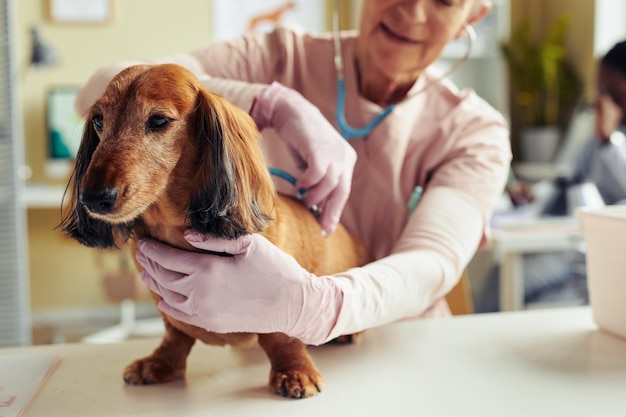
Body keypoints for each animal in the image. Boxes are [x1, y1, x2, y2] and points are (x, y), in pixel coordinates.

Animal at [59, 63, 370, 398]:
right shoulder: (168, 309)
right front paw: (161, 363)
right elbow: (175, 334)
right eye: (99, 120)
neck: (174, 229)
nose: (93, 197)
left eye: (158, 120)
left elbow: (281, 336)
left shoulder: (283, 299)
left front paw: (295, 371)